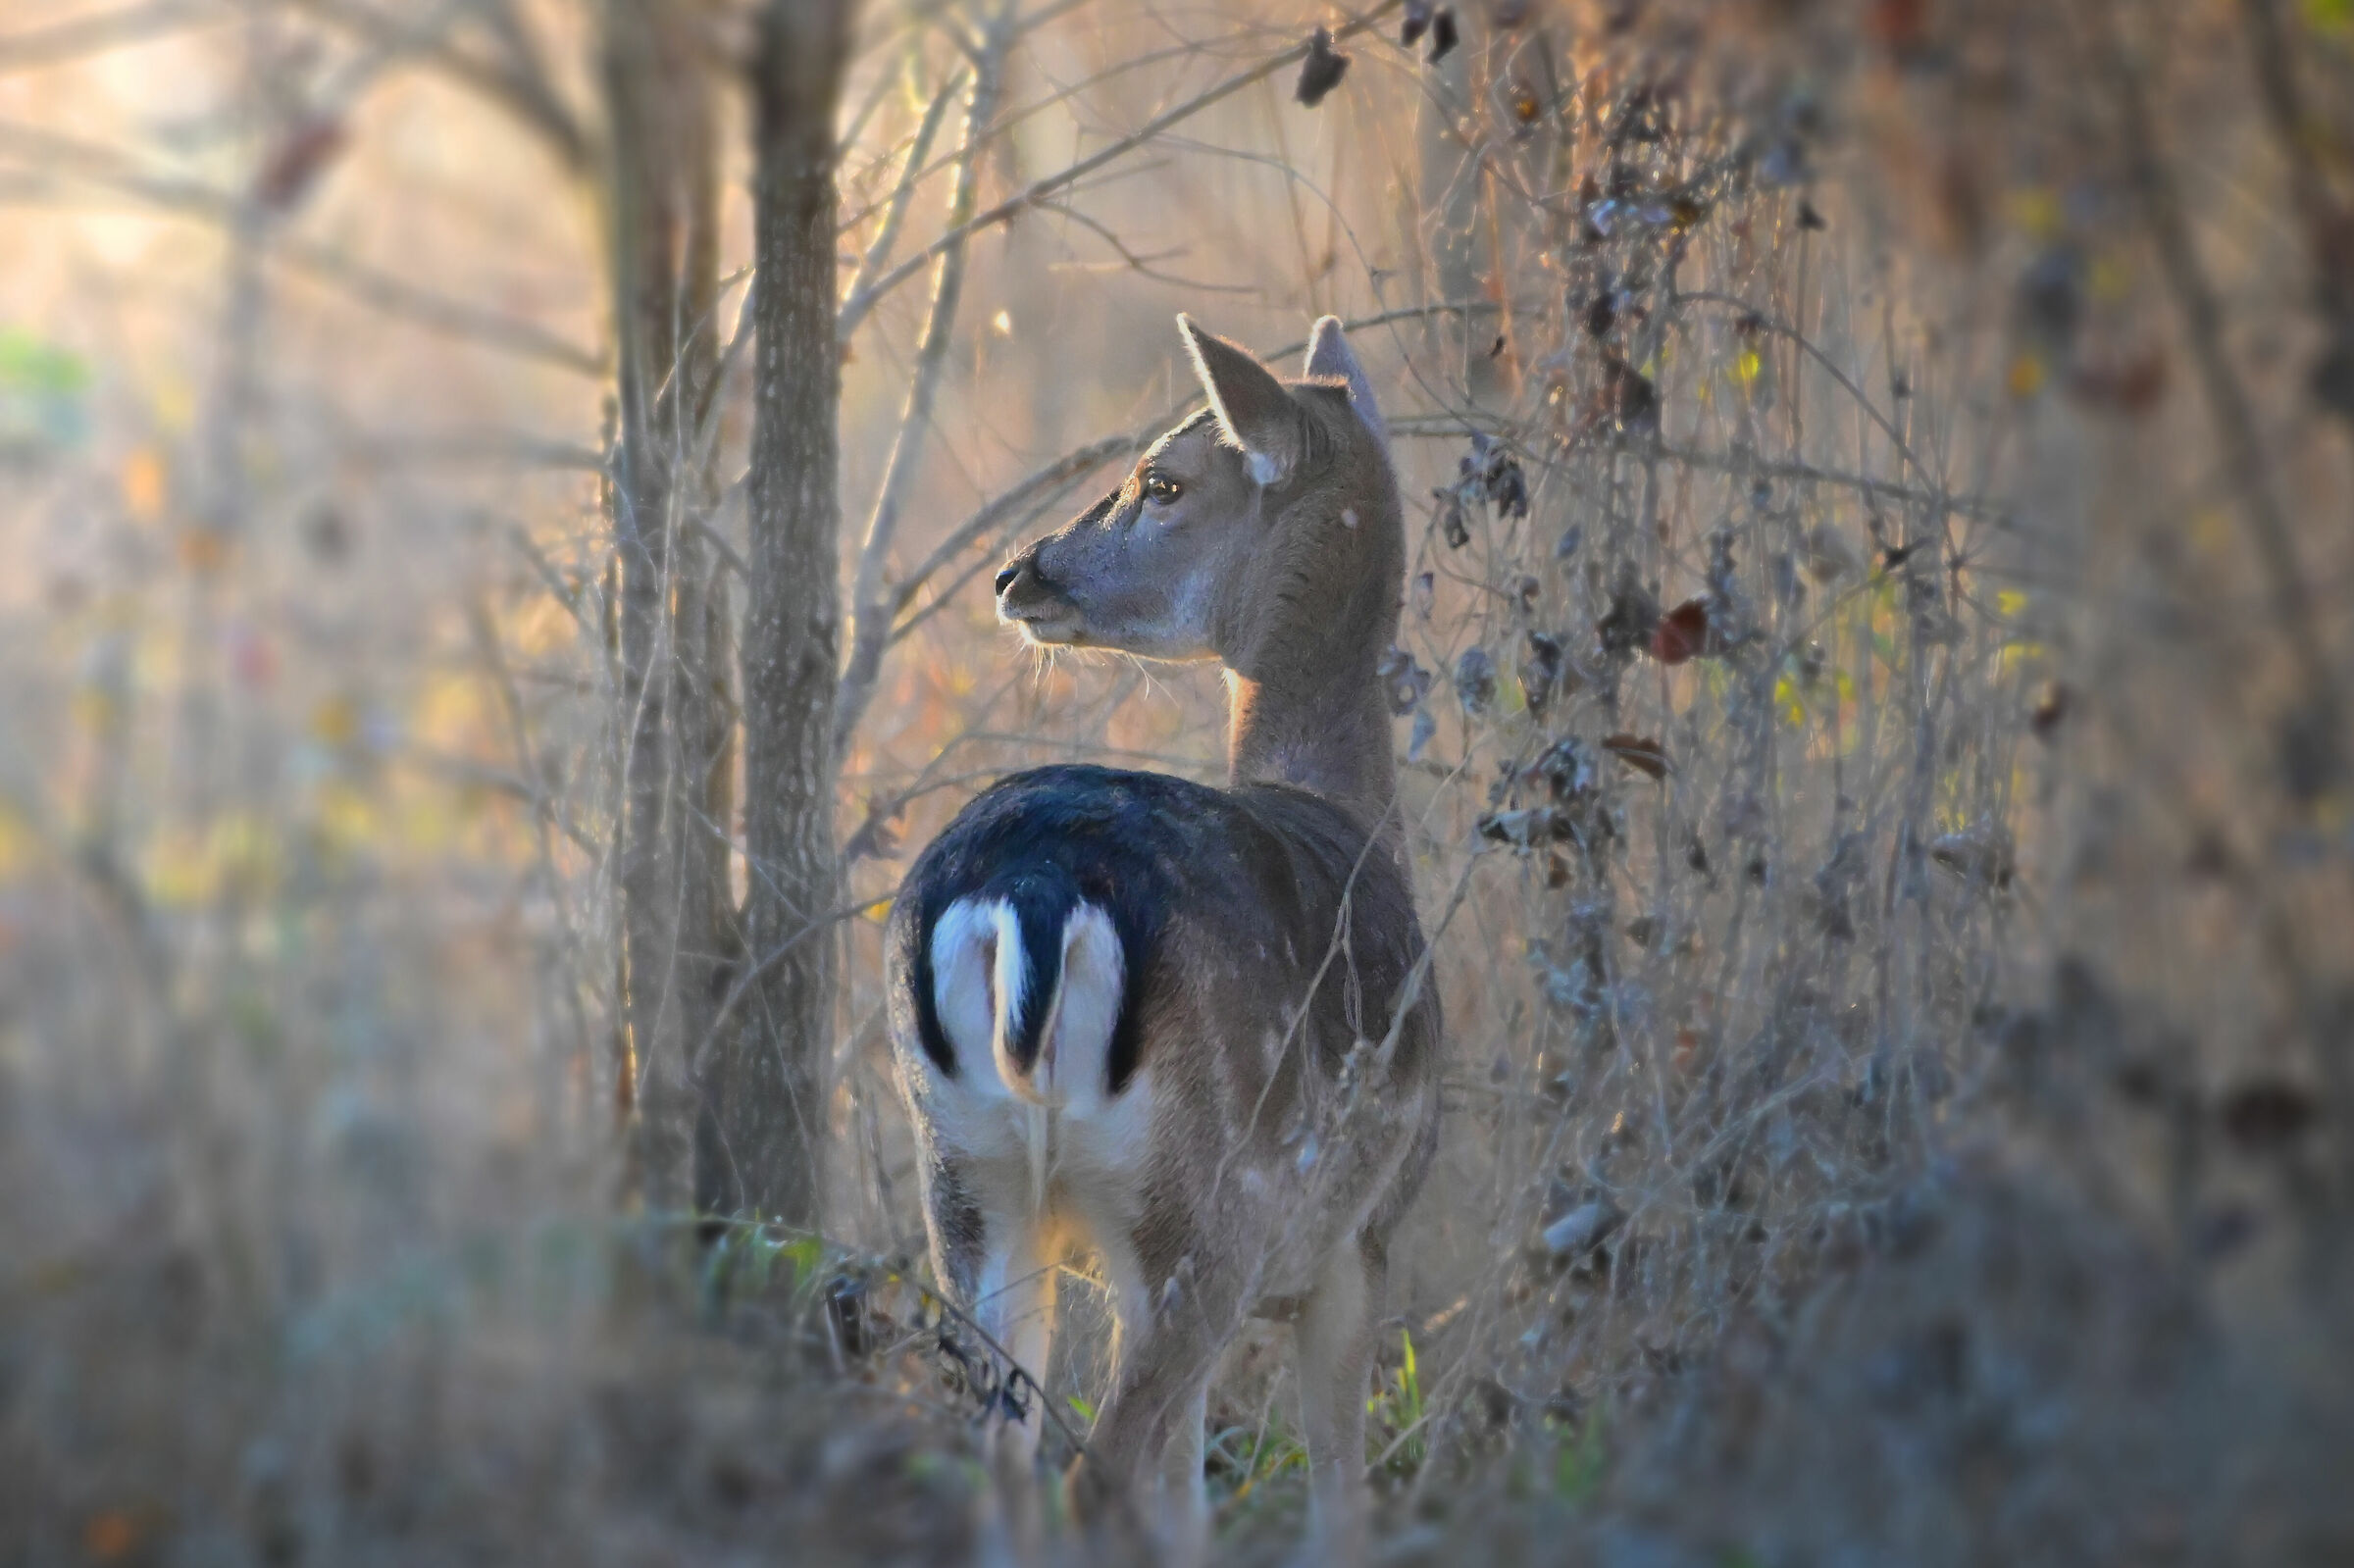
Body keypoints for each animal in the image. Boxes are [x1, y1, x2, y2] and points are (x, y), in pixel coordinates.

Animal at [885, 314, 1440, 1563]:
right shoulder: (1359, 1235)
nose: (1019, 571)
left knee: (1002, 1459)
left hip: (966, 1180)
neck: (1356, 820)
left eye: (1165, 482)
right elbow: (1338, 1493)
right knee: (1096, 1476)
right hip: (1196, 1208)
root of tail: (1032, 891)